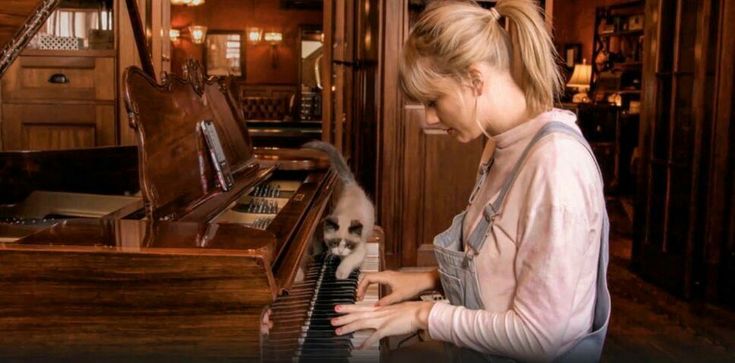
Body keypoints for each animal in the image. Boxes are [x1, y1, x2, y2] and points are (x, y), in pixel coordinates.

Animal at [304, 141, 376, 280]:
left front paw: (340, 273)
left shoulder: (359, 250)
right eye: (335, 243)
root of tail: (352, 186)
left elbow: (349, 260)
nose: (341, 251)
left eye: (348, 244)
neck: (346, 216)